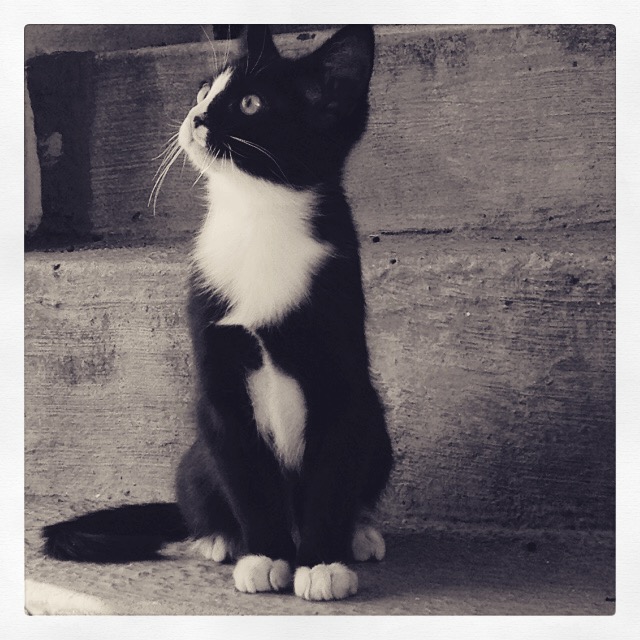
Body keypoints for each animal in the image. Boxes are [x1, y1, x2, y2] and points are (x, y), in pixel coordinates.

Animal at [42, 24, 393, 602]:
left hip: (376, 420)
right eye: (204, 90)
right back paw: (219, 538)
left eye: (251, 104)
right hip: (196, 453)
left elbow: (333, 471)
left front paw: (323, 563)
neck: (258, 221)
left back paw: (358, 532)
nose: (196, 117)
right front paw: (264, 555)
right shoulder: (220, 380)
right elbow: (246, 474)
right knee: (199, 491)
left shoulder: (340, 371)